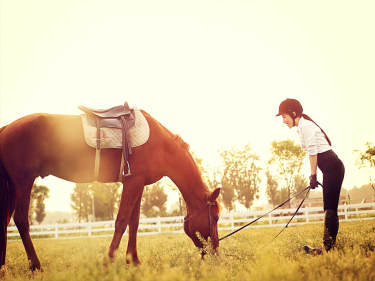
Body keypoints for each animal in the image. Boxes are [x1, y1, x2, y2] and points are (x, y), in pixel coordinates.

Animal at [0, 109, 222, 270]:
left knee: (4, 221)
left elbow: (134, 222)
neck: (162, 145)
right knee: (21, 221)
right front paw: (109, 261)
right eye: (216, 217)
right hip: (23, 181)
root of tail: (6, 128)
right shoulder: (133, 183)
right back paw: (36, 266)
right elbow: (122, 221)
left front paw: (133, 261)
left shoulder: (137, 183)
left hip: (12, 186)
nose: (216, 253)